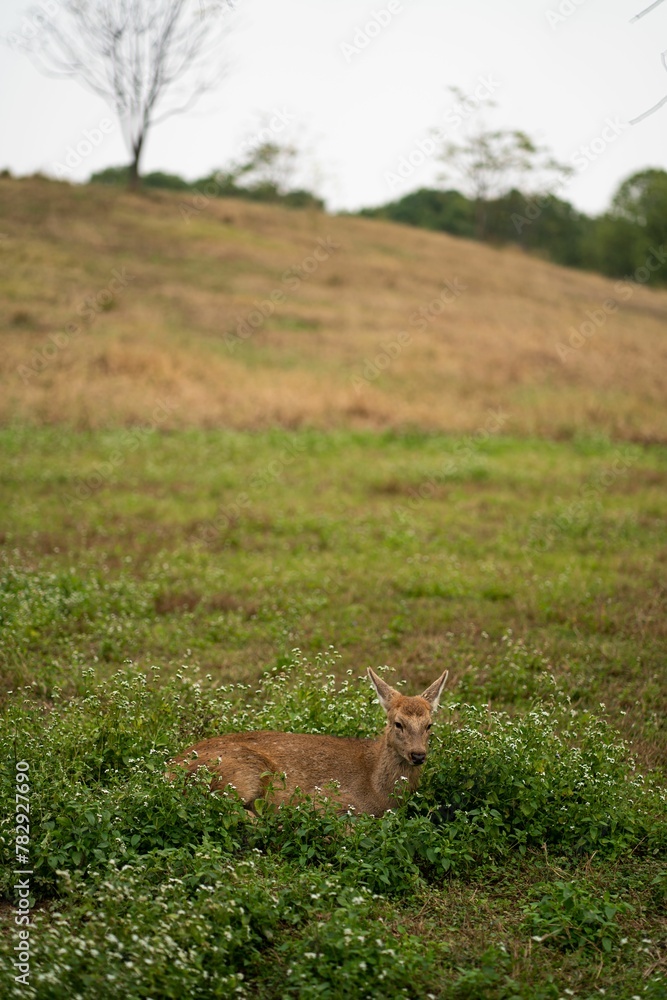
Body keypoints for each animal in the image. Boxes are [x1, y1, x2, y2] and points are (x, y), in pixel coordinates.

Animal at [169, 667, 448, 816]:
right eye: (397, 723)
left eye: (429, 725)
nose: (418, 754)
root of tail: (169, 771)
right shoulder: (329, 799)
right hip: (241, 773)